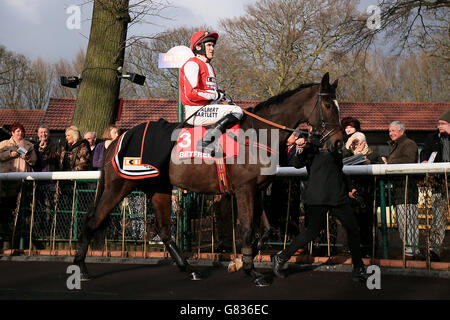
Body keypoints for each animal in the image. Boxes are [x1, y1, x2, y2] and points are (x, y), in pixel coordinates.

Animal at [74, 73, 342, 288]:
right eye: (328, 104)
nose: (338, 142)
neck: (257, 133)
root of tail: (116, 140)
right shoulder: (244, 189)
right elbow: (247, 230)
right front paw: (252, 272)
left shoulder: (258, 190)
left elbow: (265, 230)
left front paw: (240, 262)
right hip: (119, 186)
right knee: (92, 220)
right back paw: (81, 269)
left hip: (158, 187)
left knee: (164, 229)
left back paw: (190, 269)